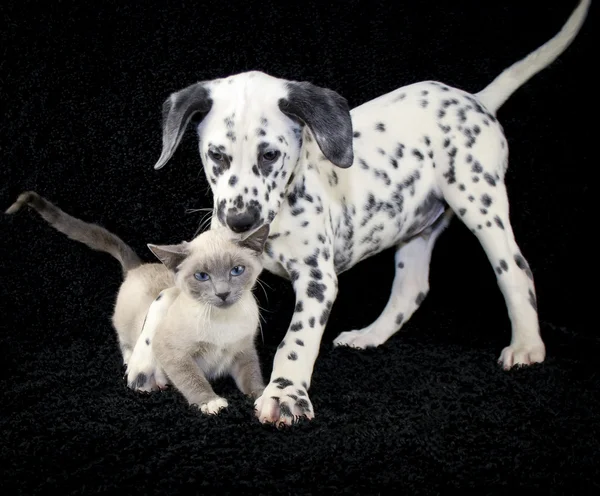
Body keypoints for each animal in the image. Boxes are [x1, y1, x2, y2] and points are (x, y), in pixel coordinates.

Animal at [6, 192, 268, 412]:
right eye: (202, 276)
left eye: (237, 270)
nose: (223, 293)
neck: (224, 322)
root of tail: (138, 267)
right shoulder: (174, 354)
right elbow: (192, 378)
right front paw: (211, 403)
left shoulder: (243, 351)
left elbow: (252, 376)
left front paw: (262, 398)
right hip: (126, 327)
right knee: (126, 343)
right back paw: (140, 371)